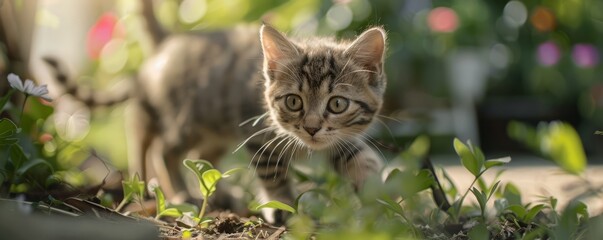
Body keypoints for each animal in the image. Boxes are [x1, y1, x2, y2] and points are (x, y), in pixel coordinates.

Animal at [46, 10, 386, 224]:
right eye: (294, 101)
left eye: (337, 104)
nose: (312, 128)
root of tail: (172, 40)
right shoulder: (259, 134)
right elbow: (273, 174)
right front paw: (282, 206)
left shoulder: (342, 138)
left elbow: (363, 160)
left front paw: (380, 201)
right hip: (186, 119)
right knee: (157, 144)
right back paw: (166, 189)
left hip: (217, 129)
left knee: (201, 156)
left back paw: (218, 193)